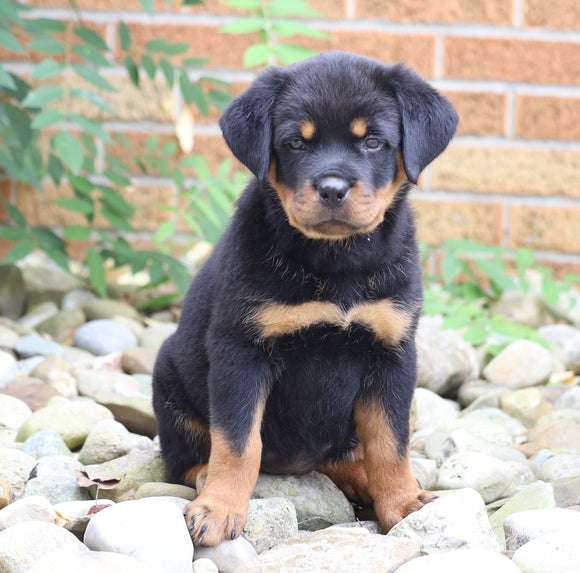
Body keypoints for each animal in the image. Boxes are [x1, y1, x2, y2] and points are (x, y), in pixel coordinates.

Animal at [153, 52, 458, 544]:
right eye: (296, 142)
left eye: (373, 142)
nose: (332, 188)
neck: (336, 262)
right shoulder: (241, 351)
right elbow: (237, 441)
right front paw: (220, 508)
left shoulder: (392, 353)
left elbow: (391, 442)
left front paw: (404, 503)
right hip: (169, 382)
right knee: (185, 459)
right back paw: (203, 480)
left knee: (345, 457)